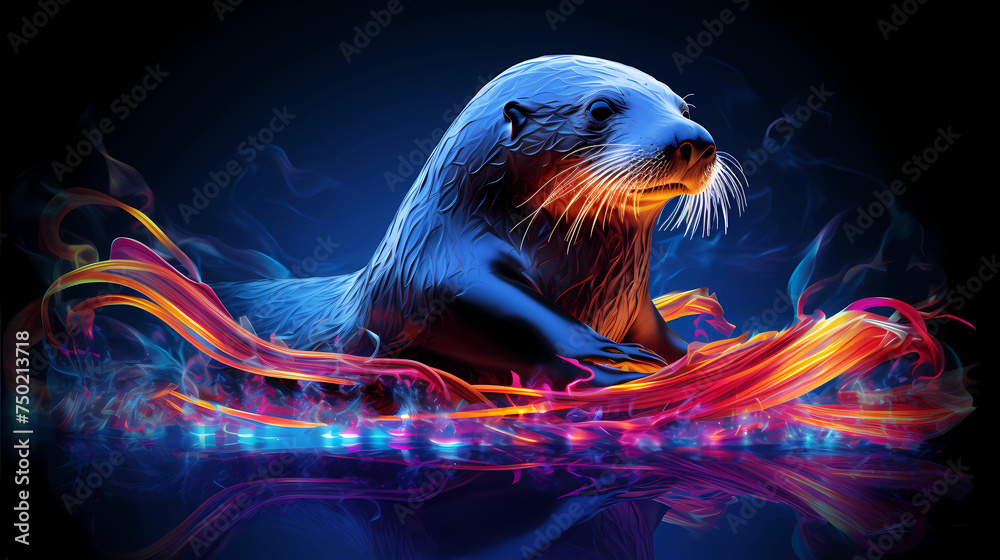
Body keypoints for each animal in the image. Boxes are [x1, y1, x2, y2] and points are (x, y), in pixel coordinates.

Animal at [214, 55, 745, 389]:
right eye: (600, 109)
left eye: (683, 106)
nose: (694, 140)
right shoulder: (437, 271)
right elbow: (506, 315)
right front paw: (607, 362)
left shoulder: (634, 305)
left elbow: (662, 337)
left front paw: (705, 356)